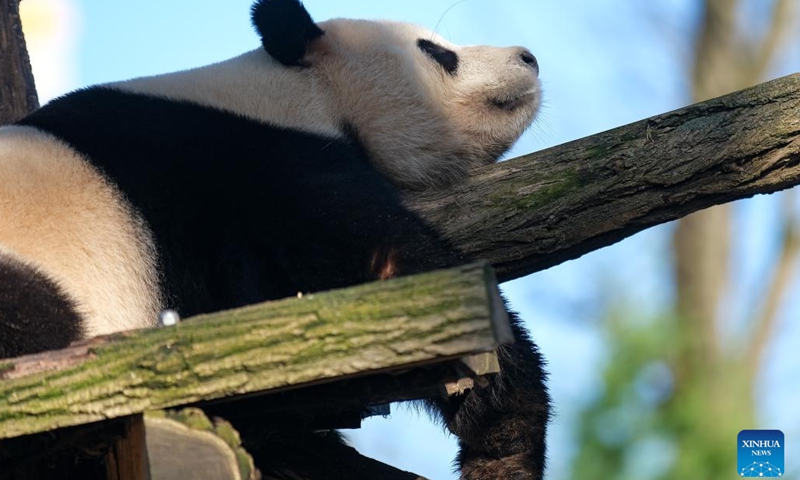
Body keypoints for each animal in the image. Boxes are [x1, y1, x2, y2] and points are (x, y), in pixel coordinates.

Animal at [0, 0, 549, 478]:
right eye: (437, 53)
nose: (529, 57)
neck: (290, 86)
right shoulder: (251, 170)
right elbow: (385, 267)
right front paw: (504, 429)